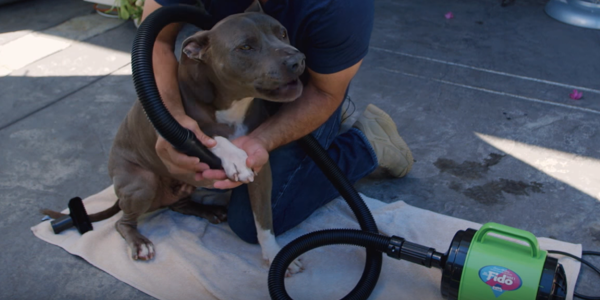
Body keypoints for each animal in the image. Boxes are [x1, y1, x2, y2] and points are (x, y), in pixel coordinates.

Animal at [43, 1, 304, 274]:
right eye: (245, 47)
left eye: (282, 33)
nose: (298, 60)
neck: (232, 105)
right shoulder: (179, 129)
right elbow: (210, 138)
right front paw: (234, 157)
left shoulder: (262, 169)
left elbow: (264, 220)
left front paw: (274, 255)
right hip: (142, 183)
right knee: (122, 222)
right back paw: (140, 243)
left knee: (176, 204)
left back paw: (209, 211)